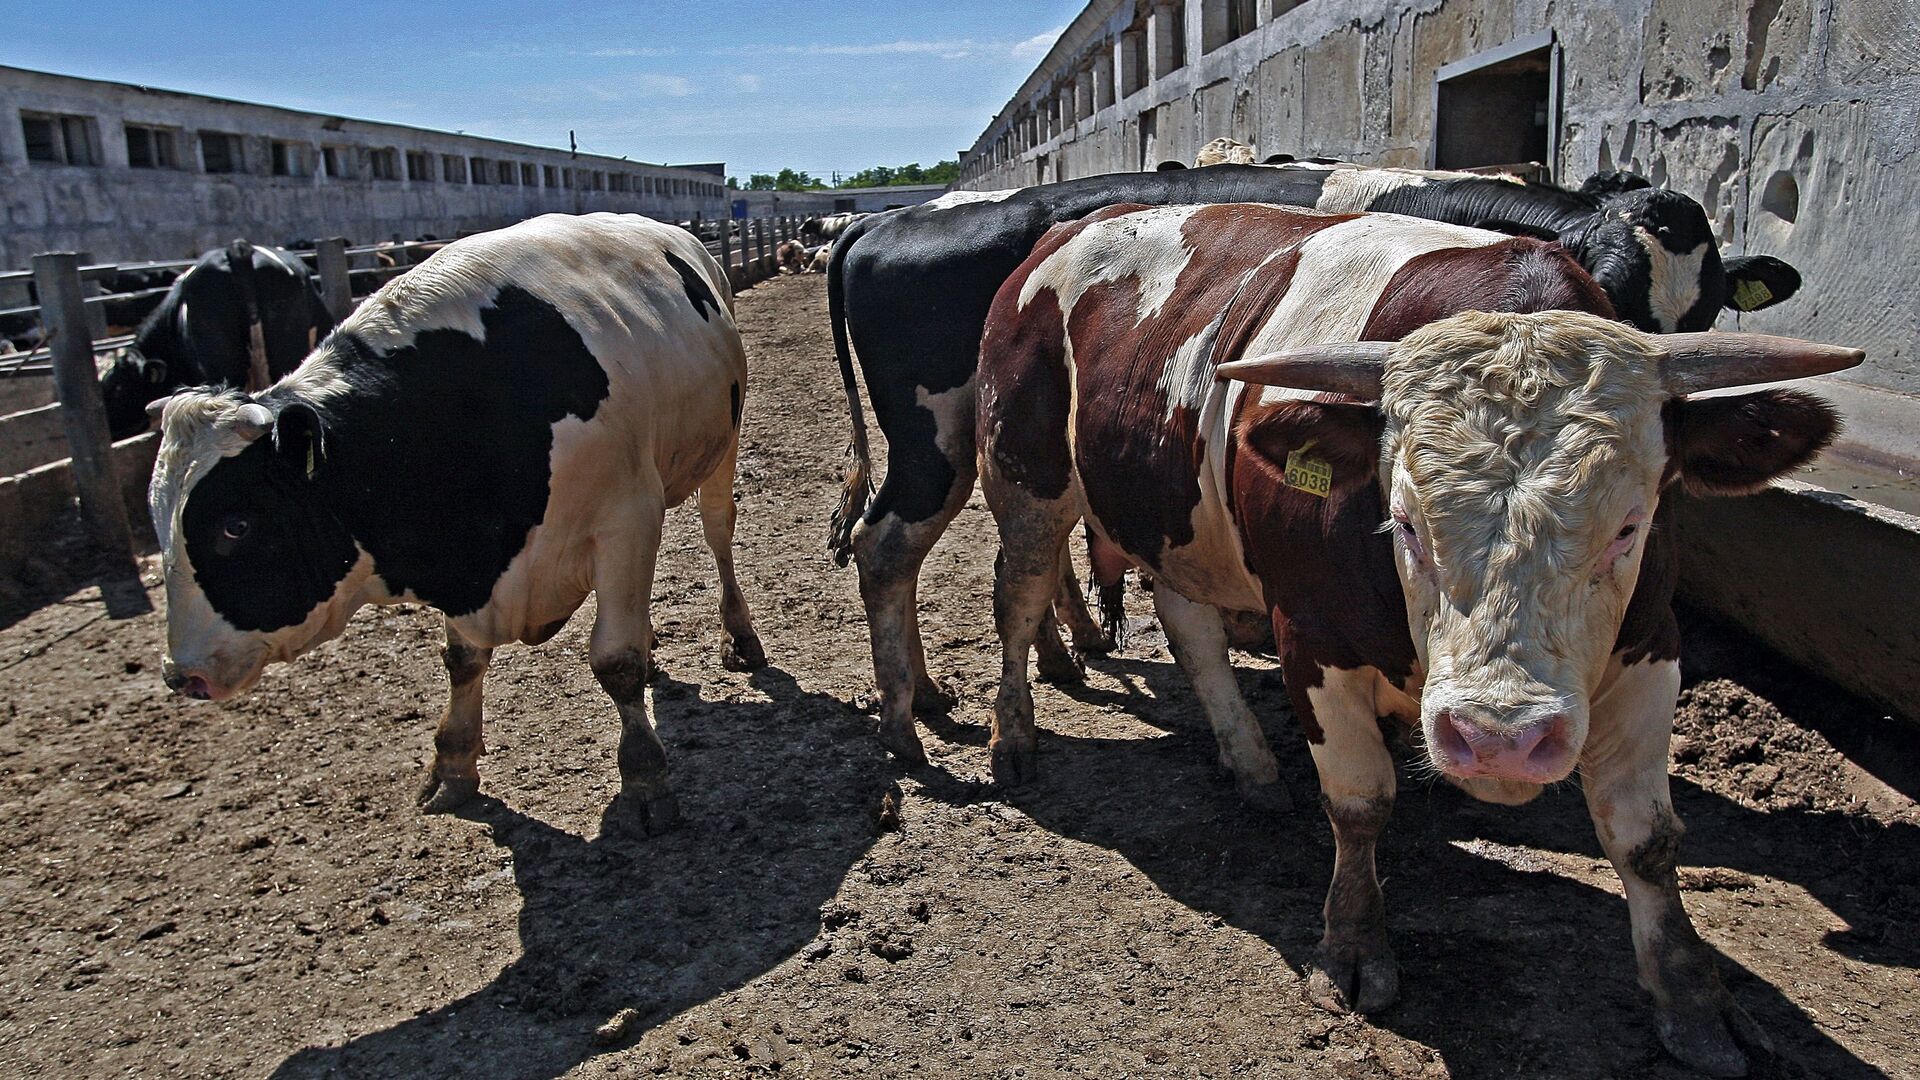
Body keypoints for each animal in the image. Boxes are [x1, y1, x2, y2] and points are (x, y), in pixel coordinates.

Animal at [975, 199, 1858, 1068]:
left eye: (1629, 527)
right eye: (1403, 521)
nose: (1500, 739)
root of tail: (1068, 231)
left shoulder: (1650, 646)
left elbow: (1644, 838)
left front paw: (1694, 1000)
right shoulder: (1313, 639)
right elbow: (1360, 801)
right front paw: (1354, 946)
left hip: (1175, 521)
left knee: (1188, 625)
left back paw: (1249, 762)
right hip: (1025, 477)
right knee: (1018, 597)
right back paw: (1013, 737)